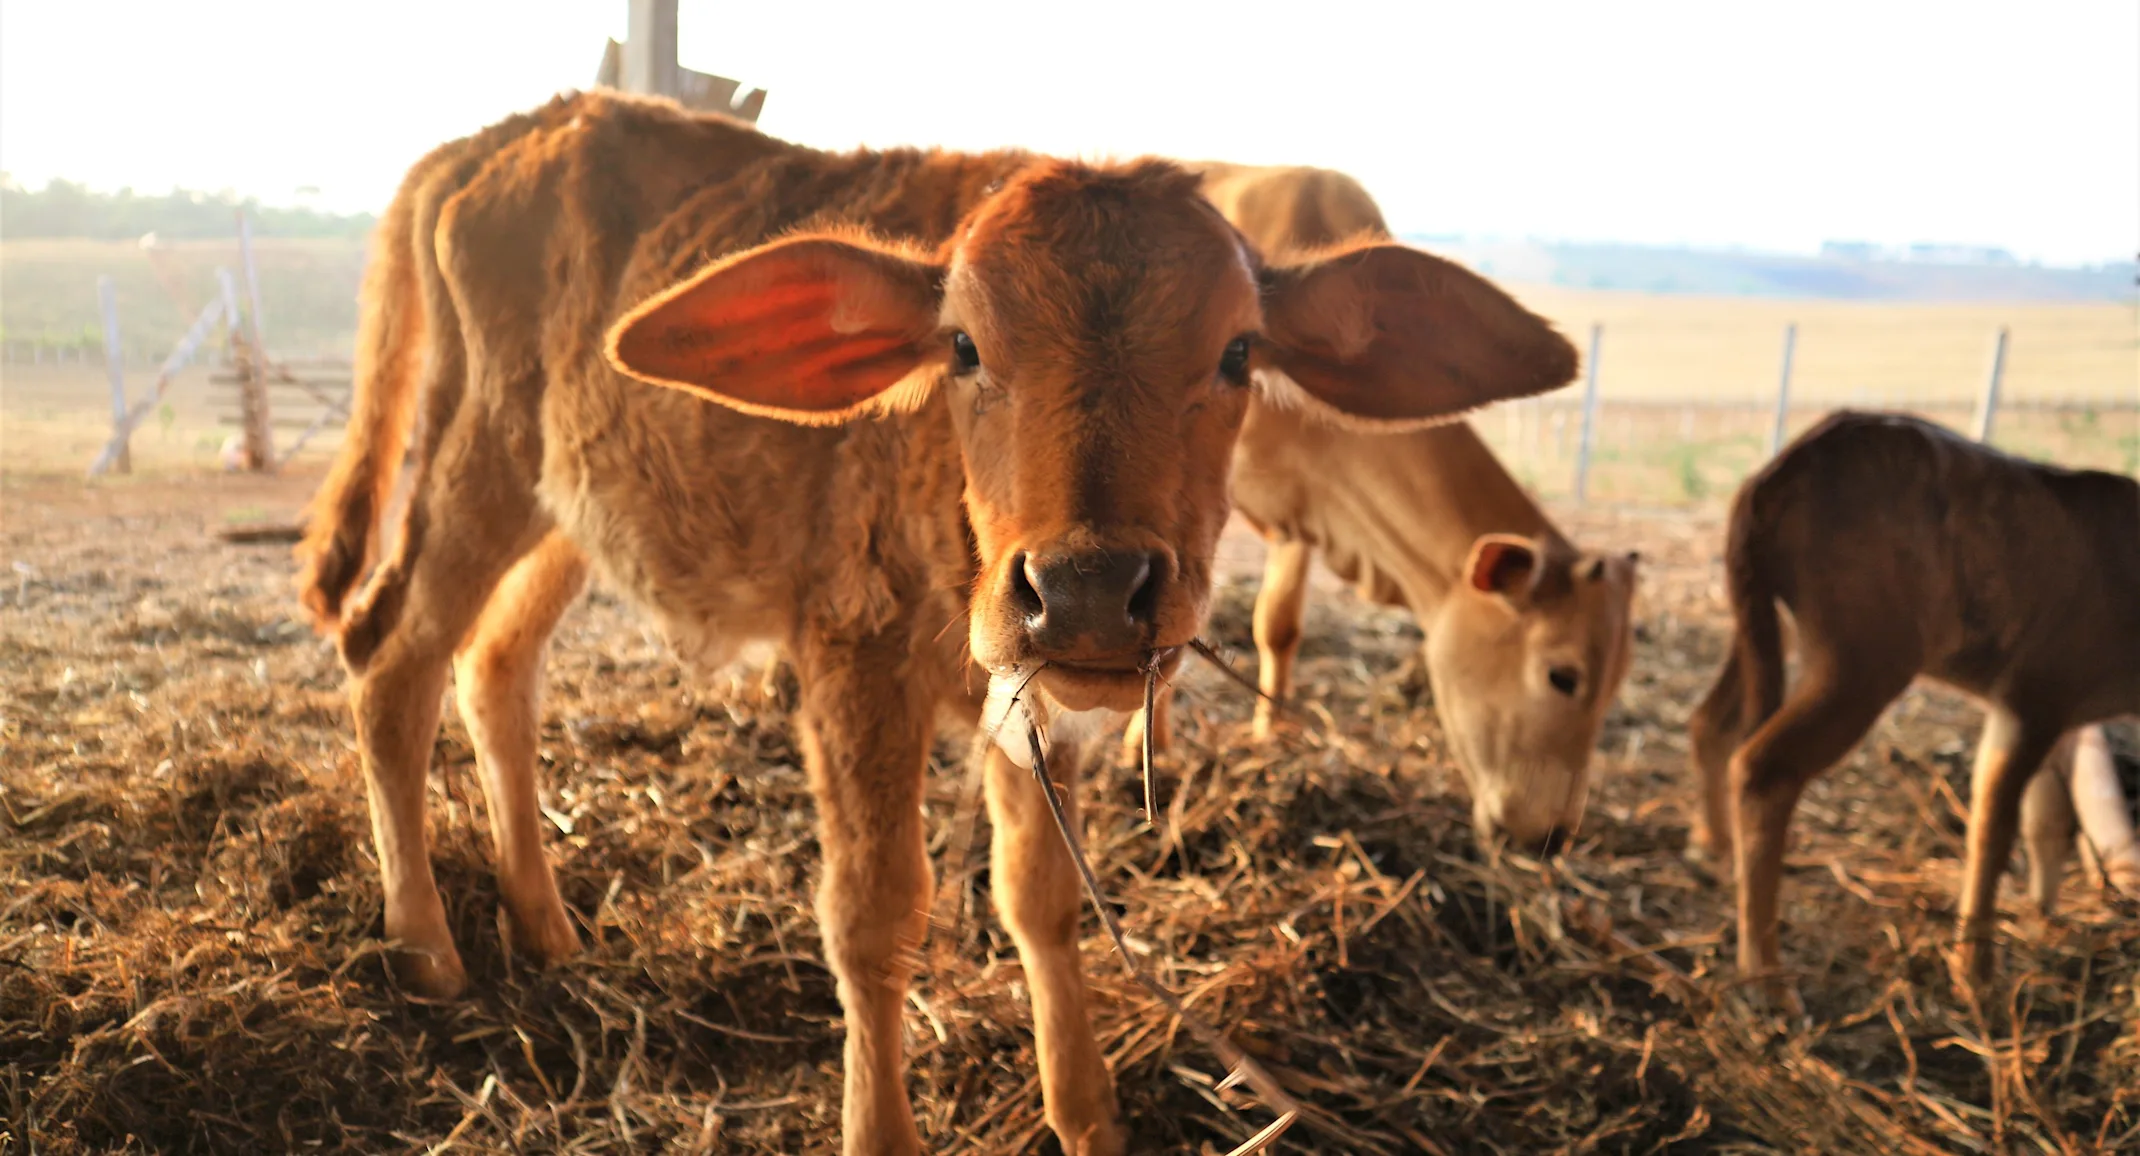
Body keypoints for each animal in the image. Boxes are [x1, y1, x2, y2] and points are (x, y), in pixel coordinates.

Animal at [1129, 162, 1643, 847]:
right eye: (1563, 675)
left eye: (1617, 683)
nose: (1552, 837)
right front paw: (1146, 751)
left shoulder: (1304, 511)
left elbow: (1279, 625)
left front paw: (1270, 734)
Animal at [1686, 411, 2140, 997]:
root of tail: (1777, 472)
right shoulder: (2035, 694)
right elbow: (1995, 823)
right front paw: (1975, 972)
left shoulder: (2053, 715)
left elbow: (2043, 815)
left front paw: (2041, 914)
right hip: (1861, 657)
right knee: (1763, 766)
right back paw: (1765, 974)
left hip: (1763, 623)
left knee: (1711, 721)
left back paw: (1713, 848)